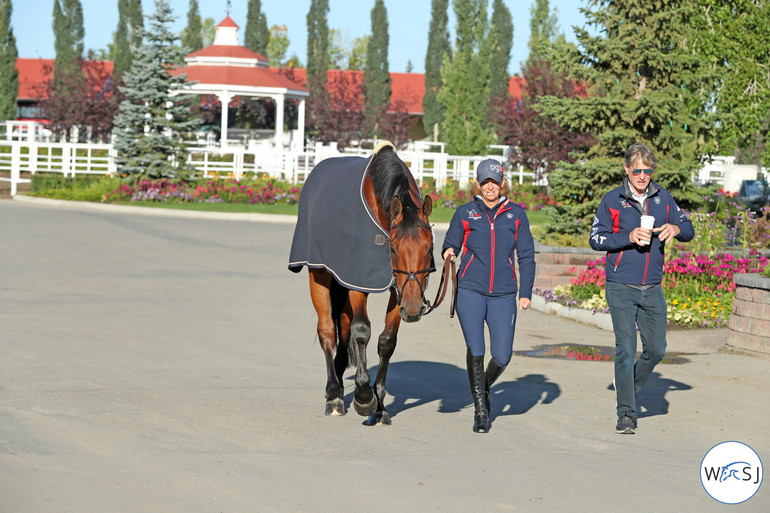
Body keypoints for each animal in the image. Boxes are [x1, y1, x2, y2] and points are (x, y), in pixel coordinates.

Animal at [288, 140, 432, 424]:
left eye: (429, 248)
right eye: (393, 249)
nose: (413, 309)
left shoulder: (397, 289)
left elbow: (387, 341)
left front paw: (380, 405)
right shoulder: (358, 281)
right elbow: (362, 330)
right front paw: (365, 397)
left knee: (343, 330)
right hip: (319, 275)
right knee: (327, 331)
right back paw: (333, 394)